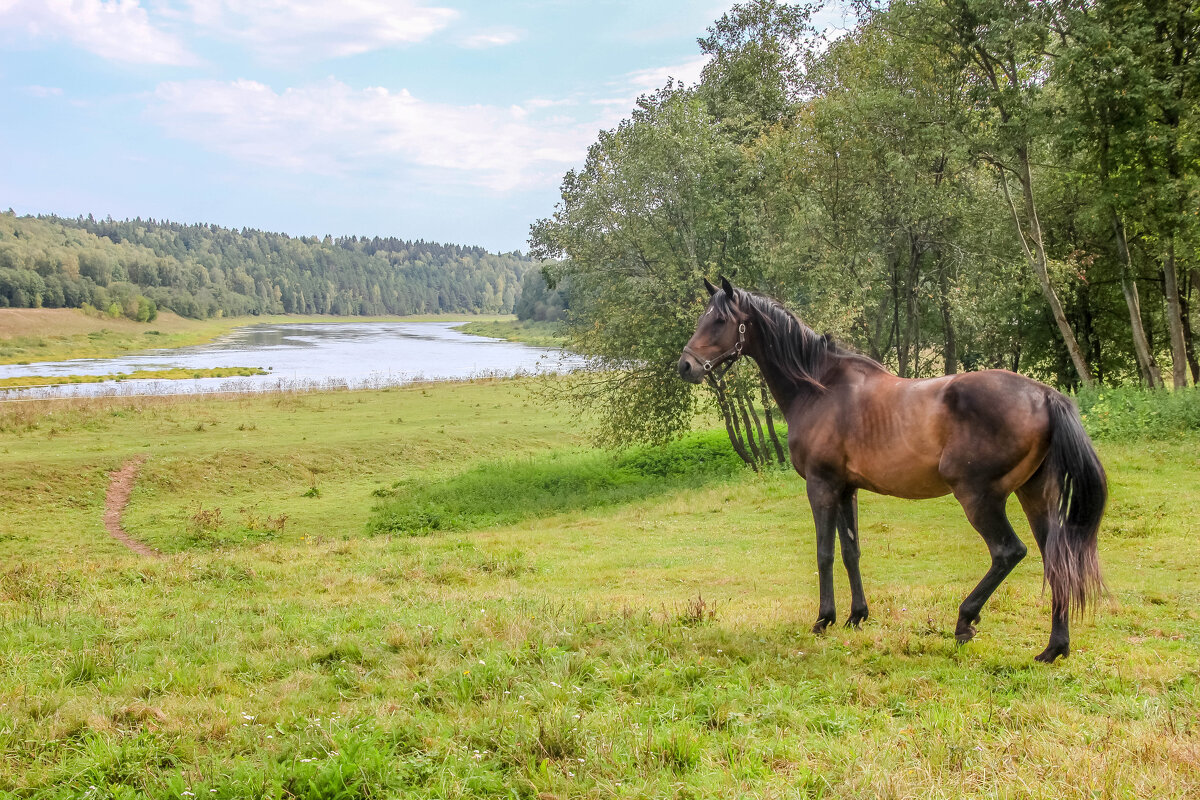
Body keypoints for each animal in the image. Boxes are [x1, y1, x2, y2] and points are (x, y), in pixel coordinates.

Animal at [676, 277, 1104, 662]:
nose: (685, 366)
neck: (819, 388)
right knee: (1055, 559)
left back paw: (965, 621)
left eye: (719, 320)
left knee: (1008, 552)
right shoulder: (846, 489)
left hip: (979, 497)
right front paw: (856, 616)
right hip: (1034, 496)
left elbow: (824, 553)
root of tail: (1044, 395)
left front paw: (824, 619)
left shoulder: (821, 486)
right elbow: (851, 551)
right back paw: (1054, 648)